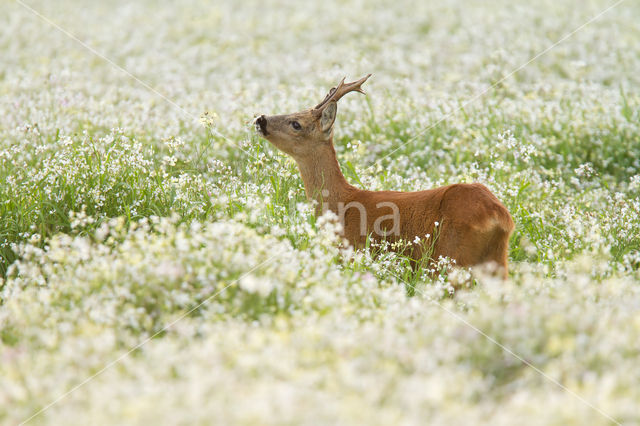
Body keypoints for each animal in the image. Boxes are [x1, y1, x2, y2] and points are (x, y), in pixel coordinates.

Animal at [255, 75, 516, 278]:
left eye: (296, 123)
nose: (261, 119)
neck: (340, 203)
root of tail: (499, 215)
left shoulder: (351, 251)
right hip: (497, 259)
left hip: (451, 256)